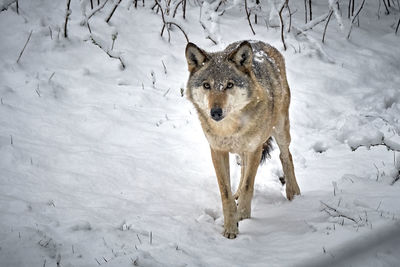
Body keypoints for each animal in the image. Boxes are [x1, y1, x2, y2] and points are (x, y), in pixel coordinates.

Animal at [184, 40, 300, 239]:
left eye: (229, 85)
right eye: (206, 85)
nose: (216, 112)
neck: (230, 129)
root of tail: (259, 42)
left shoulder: (255, 148)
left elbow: (248, 186)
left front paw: (243, 216)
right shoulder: (217, 151)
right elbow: (226, 192)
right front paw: (230, 226)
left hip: (280, 130)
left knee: (286, 156)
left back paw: (294, 193)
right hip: (241, 151)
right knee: (244, 168)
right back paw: (236, 194)